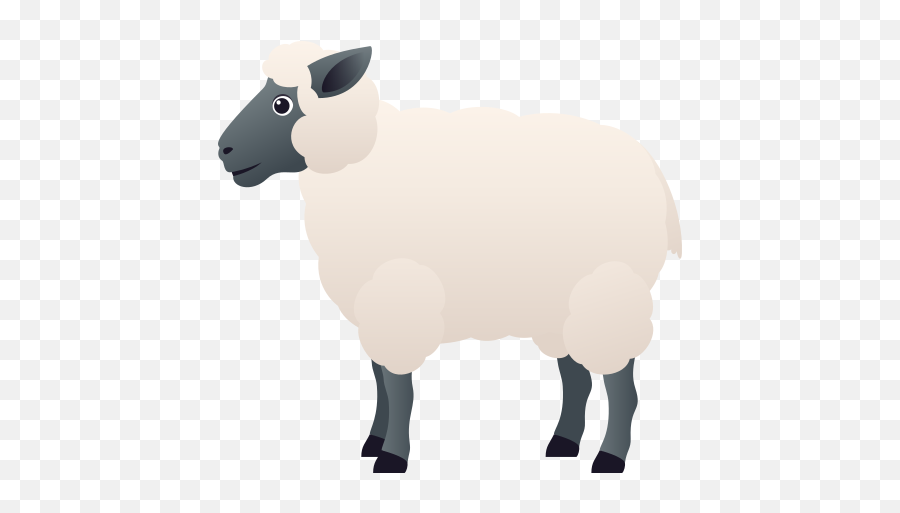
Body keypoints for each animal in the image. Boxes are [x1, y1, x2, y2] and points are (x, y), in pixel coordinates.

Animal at [217, 41, 682, 474]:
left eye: (282, 104)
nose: (224, 150)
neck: (359, 162)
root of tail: (656, 177)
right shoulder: (372, 305)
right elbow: (381, 380)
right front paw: (373, 442)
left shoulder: (398, 298)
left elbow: (399, 387)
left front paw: (392, 457)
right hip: (558, 305)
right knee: (578, 378)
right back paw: (563, 444)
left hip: (608, 295)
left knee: (621, 386)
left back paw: (609, 458)